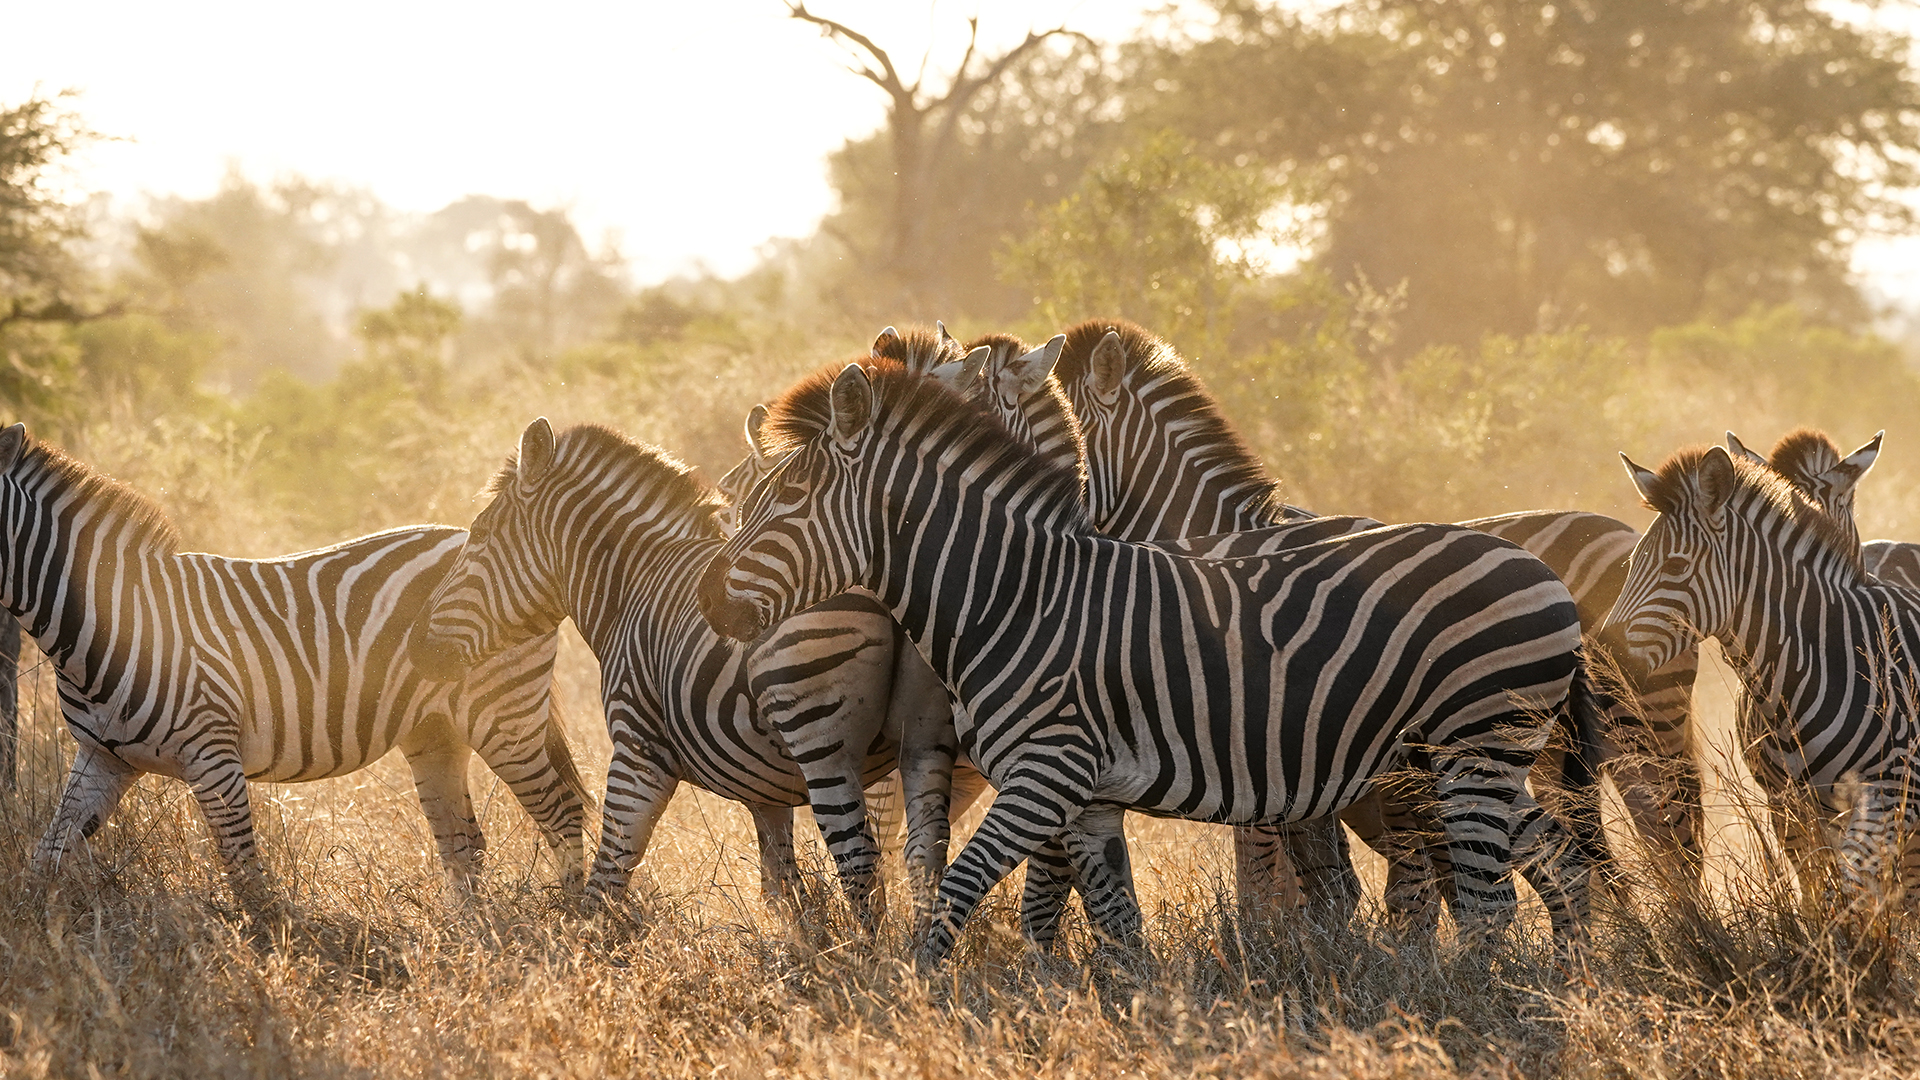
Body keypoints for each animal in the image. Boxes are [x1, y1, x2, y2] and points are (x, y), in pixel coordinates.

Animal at [0, 423, 591, 903]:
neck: (104, 623)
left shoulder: (213, 755)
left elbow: (248, 880)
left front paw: (267, 956)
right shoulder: (103, 757)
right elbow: (47, 858)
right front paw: (37, 933)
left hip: (504, 717)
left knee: (562, 814)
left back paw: (573, 920)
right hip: (435, 731)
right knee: (463, 843)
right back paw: (467, 936)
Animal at [700, 363, 1595, 963]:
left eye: (786, 504)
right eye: (742, 502)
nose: (710, 602)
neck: (1013, 596)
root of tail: (1537, 566)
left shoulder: (1046, 770)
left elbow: (958, 890)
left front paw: (917, 1001)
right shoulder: (1089, 796)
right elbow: (1114, 920)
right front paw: (1138, 1016)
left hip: (1475, 745)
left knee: (1489, 900)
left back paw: (1479, 999)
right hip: (1448, 757)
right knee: (1555, 857)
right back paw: (1566, 982)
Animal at [1603, 443, 1920, 898]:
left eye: (1676, 568)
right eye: (1629, 565)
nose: (1603, 652)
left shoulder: (1887, 796)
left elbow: (1852, 892)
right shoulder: (1793, 807)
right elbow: (1823, 897)